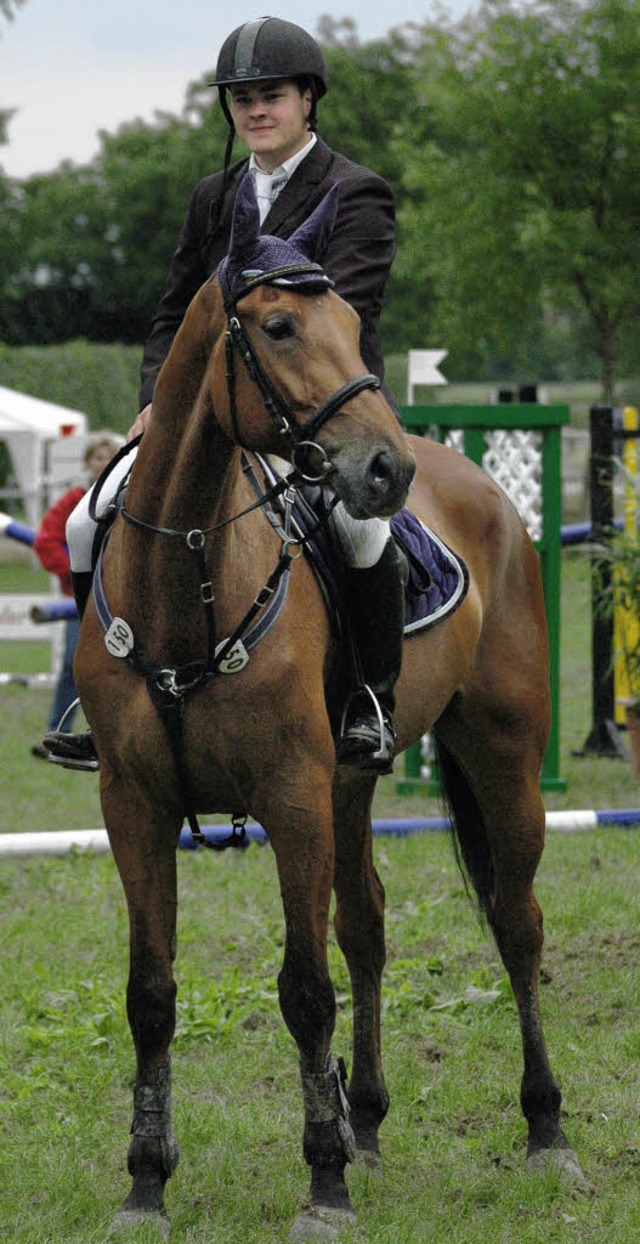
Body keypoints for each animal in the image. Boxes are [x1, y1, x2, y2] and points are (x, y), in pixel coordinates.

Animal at [74, 177, 582, 1244]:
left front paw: (323, 1183)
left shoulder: (292, 796)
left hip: (501, 756)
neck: (190, 575)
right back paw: (373, 1125)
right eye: (277, 325)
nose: (384, 469)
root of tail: (484, 490)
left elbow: (306, 992)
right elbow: (151, 993)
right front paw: (145, 1184)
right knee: (369, 929)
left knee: (516, 925)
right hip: (353, 785)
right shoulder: (134, 806)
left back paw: (546, 1131)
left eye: (352, 322)